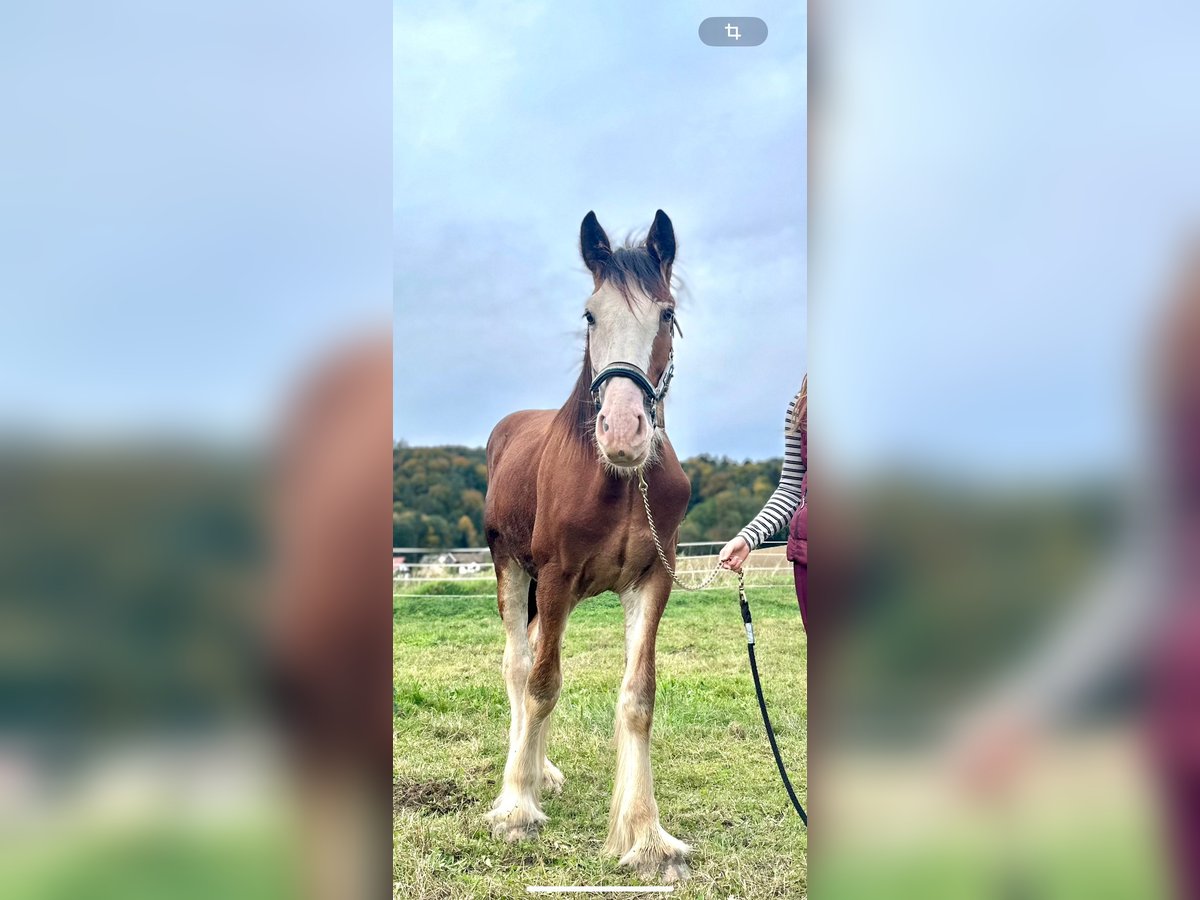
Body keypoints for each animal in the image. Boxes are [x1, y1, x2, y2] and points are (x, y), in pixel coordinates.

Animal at [482, 210, 696, 883]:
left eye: (666, 314)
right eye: (590, 315)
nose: (623, 431)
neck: (619, 481)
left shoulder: (652, 581)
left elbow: (638, 697)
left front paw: (647, 836)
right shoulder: (552, 577)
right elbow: (542, 683)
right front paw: (515, 809)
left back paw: (540, 770)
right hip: (512, 569)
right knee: (520, 664)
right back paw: (523, 776)